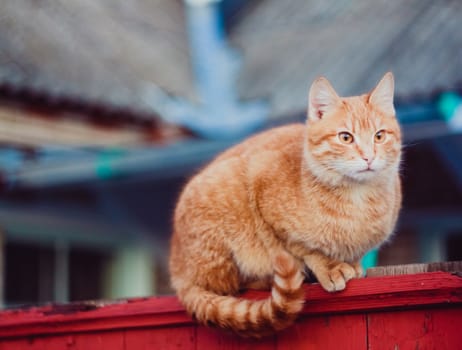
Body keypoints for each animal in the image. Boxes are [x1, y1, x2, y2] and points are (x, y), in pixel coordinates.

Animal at [169, 72, 400, 338]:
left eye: (379, 136)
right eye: (346, 137)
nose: (369, 157)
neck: (357, 198)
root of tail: (177, 267)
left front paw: (352, 264)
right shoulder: (262, 190)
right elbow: (302, 248)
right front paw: (330, 266)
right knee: (228, 285)